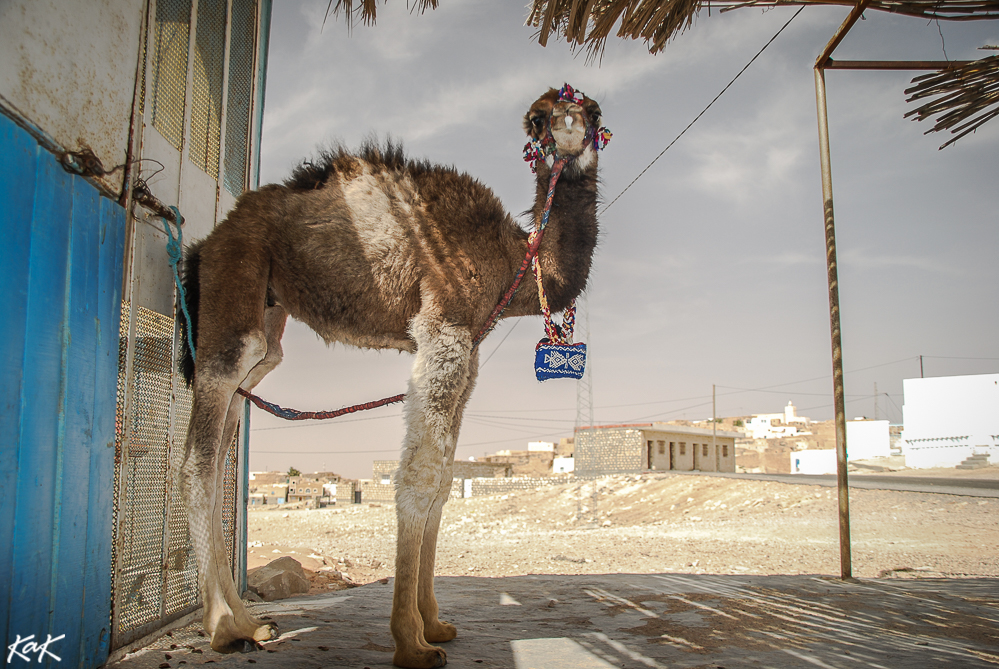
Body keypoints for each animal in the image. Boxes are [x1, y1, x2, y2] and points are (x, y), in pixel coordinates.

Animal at [180, 86, 608, 664]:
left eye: (595, 113)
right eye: (537, 119)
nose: (568, 127)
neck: (511, 262)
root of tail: (208, 241)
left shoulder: (469, 350)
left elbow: (446, 481)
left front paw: (435, 622)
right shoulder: (443, 327)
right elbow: (419, 477)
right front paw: (411, 640)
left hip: (266, 317)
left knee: (233, 419)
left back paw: (250, 622)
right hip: (235, 277)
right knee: (200, 454)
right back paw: (225, 627)